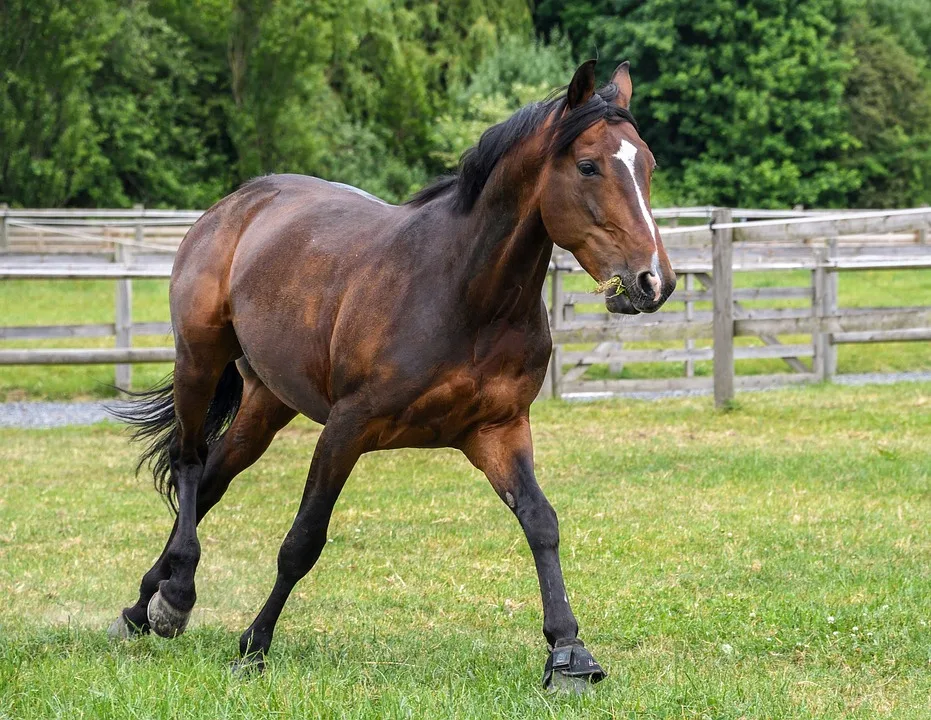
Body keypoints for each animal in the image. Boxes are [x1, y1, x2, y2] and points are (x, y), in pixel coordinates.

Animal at [111, 59, 676, 688]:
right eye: (588, 166)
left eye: (648, 164)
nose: (654, 282)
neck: (464, 295)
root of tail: (237, 204)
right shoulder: (347, 428)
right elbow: (303, 541)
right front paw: (253, 646)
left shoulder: (498, 431)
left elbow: (541, 522)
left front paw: (569, 652)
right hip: (199, 360)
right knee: (188, 463)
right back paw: (175, 596)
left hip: (266, 403)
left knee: (210, 480)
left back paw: (143, 604)